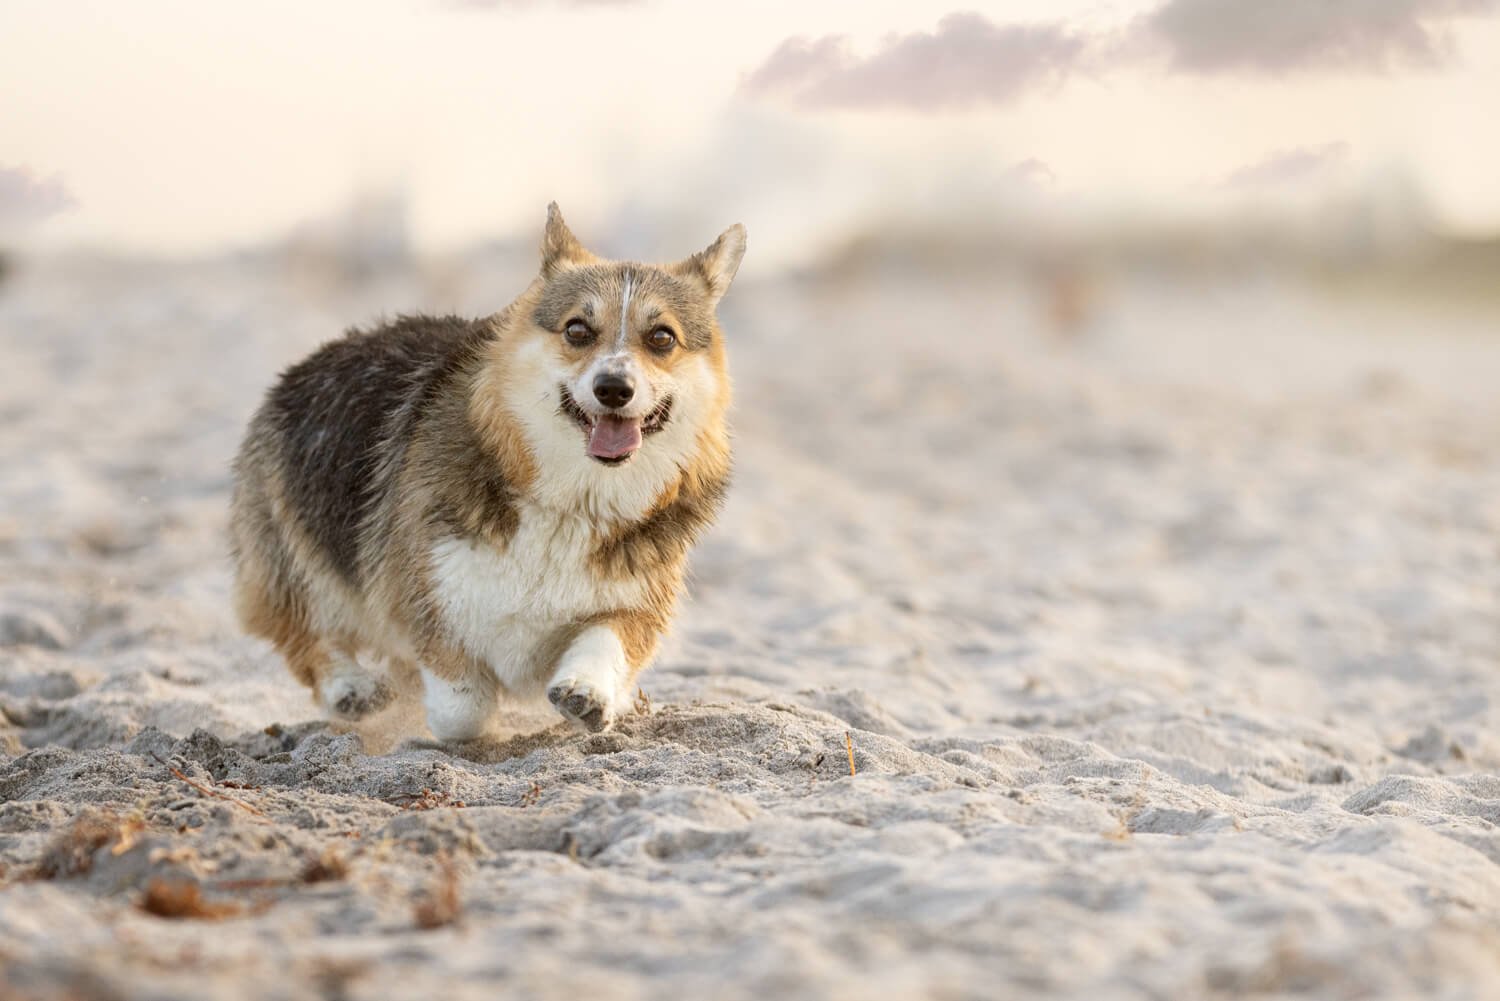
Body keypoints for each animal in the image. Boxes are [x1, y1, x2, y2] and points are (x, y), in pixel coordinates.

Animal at [229, 205, 744, 735]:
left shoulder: (634, 603)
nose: (614, 388)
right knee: (306, 631)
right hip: (295, 554)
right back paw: (350, 689)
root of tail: (315, 358)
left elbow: (607, 642)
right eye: (577, 330)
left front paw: (591, 694)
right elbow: (462, 707)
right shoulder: (432, 595)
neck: (574, 500)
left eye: (662, 337)